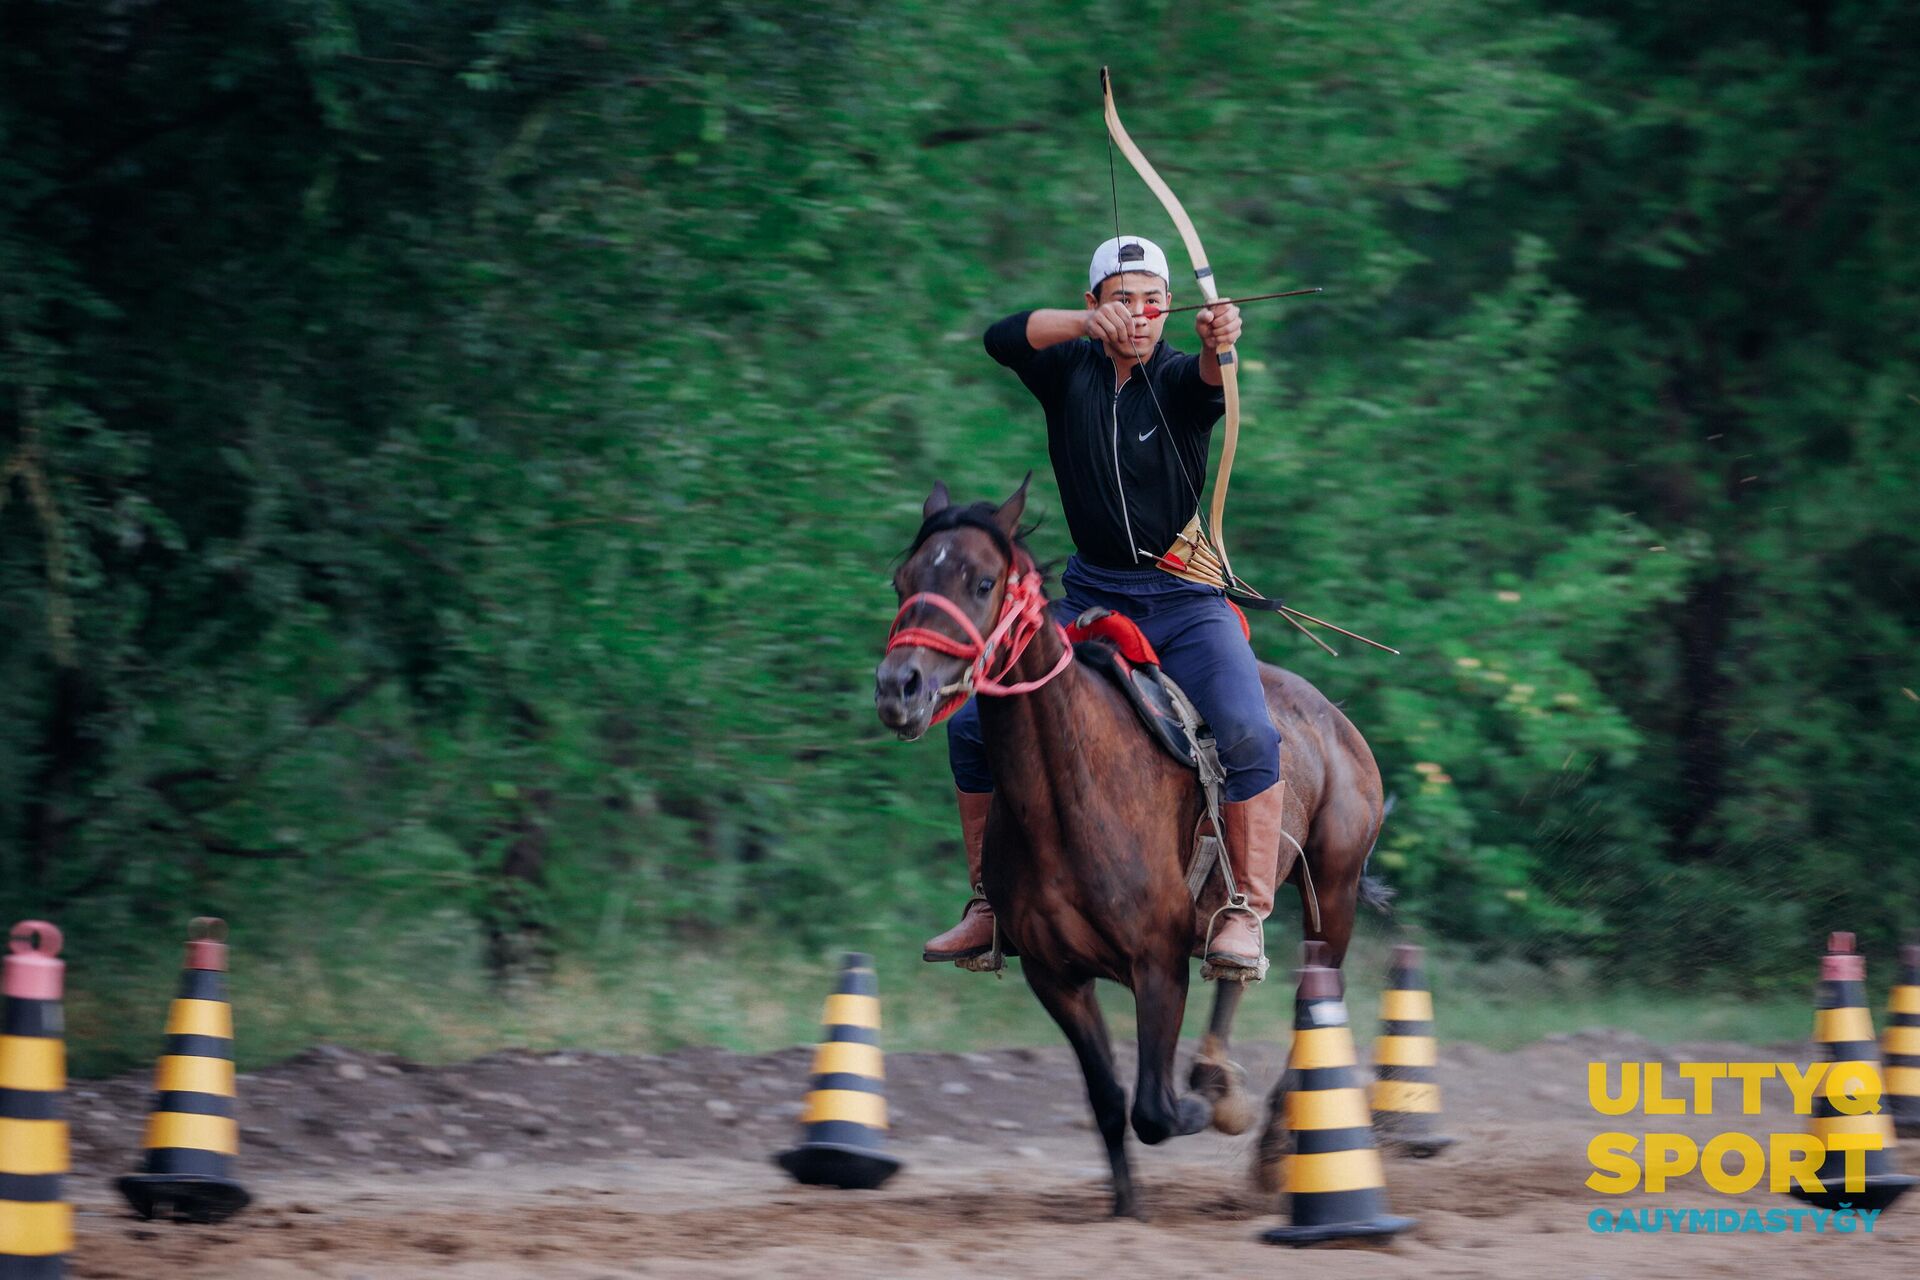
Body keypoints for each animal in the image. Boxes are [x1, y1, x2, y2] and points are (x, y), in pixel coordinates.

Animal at [879, 475, 1390, 1220]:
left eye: (981, 581)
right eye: (903, 580)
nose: (899, 687)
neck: (1069, 797)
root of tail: (1337, 722)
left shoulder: (1157, 965)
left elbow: (1154, 1107)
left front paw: (1210, 1109)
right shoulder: (1054, 975)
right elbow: (1108, 1098)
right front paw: (1127, 1209)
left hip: (1336, 893)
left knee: (1314, 999)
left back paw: (1267, 1145)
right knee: (1235, 965)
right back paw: (1217, 1064)